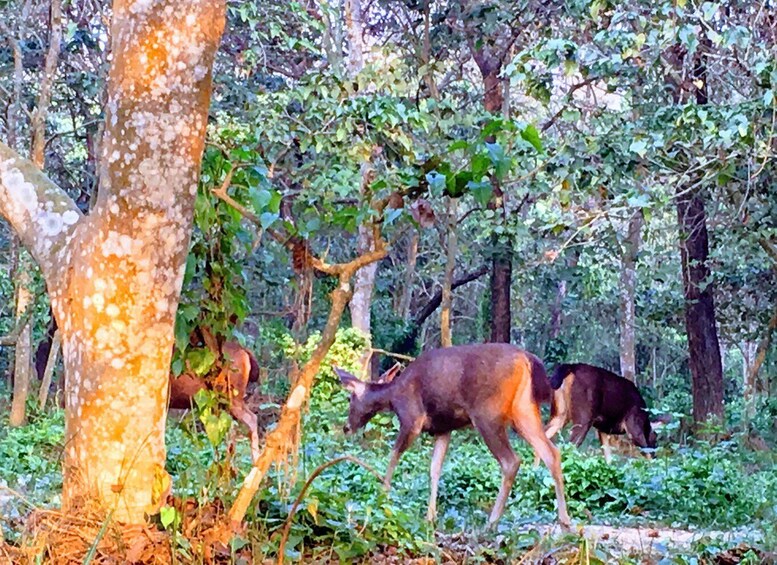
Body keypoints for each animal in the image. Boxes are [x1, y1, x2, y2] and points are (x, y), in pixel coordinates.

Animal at [334, 342, 568, 532]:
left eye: (349, 398)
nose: (346, 428)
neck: (393, 397)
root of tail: (527, 360)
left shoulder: (412, 419)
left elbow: (393, 456)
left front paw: (383, 496)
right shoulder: (443, 429)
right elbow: (435, 468)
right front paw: (430, 516)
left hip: (488, 414)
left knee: (511, 461)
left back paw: (491, 522)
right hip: (523, 409)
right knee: (551, 453)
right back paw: (565, 521)